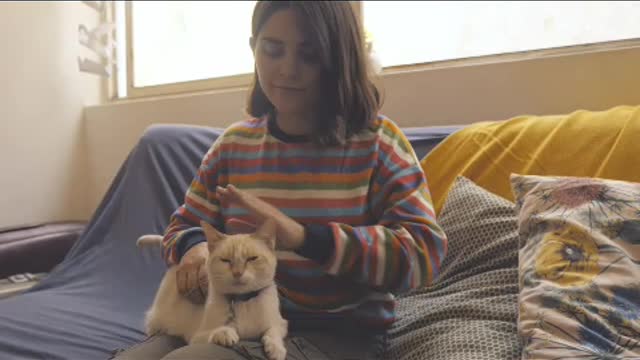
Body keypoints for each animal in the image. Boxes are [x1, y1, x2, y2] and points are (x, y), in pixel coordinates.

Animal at [145, 219, 288, 360]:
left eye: (252, 258)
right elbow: (218, 330)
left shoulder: (281, 323)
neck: (243, 300)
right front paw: (225, 333)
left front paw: (276, 349)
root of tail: (176, 264)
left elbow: (272, 332)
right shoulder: (196, 337)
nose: (237, 273)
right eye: (225, 260)